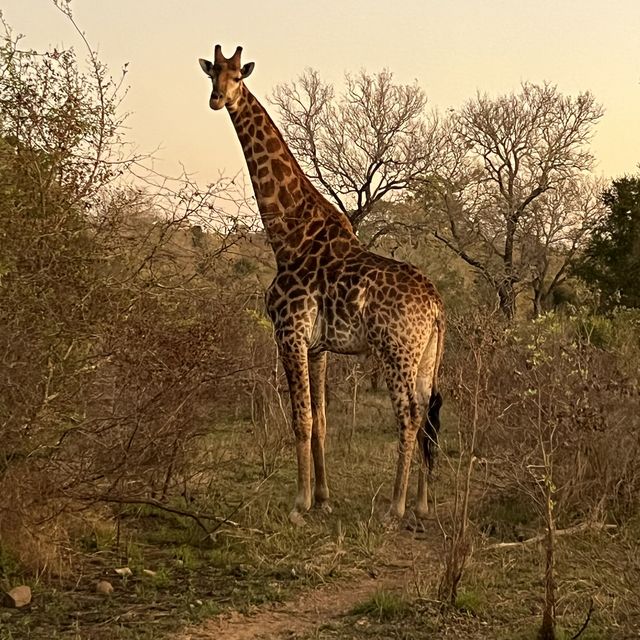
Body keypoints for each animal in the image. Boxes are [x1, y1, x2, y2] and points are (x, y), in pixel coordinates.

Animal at [200, 43, 444, 524]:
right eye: (212, 74)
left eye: (238, 76)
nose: (218, 100)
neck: (287, 234)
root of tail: (437, 307)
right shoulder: (318, 345)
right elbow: (322, 421)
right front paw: (324, 496)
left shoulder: (289, 331)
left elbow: (301, 419)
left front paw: (299, 503)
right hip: (427, 357)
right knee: (426, 414)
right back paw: (424, 504)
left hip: (397, 352)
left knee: (408, 416)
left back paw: (395, 506)